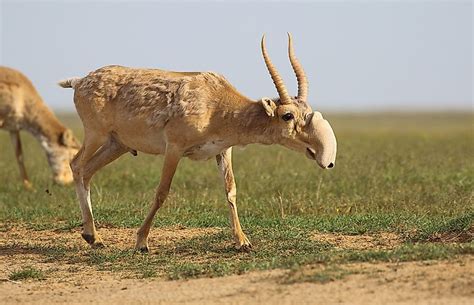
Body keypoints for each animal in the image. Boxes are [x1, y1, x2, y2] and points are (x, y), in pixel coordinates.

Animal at [59, 34, 336, 251]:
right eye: (287, 115)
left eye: (307, 111)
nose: (321, 154)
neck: (216, 104)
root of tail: (80, 81)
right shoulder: (174, 148)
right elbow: (162, 192)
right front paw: (141, 242)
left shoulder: (223, 151)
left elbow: (230, 190)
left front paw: (243, 241)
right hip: (96, 135)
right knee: (77, 165)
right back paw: (94, 235)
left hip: (117, 145)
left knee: (87, 171)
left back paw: (93, 237)